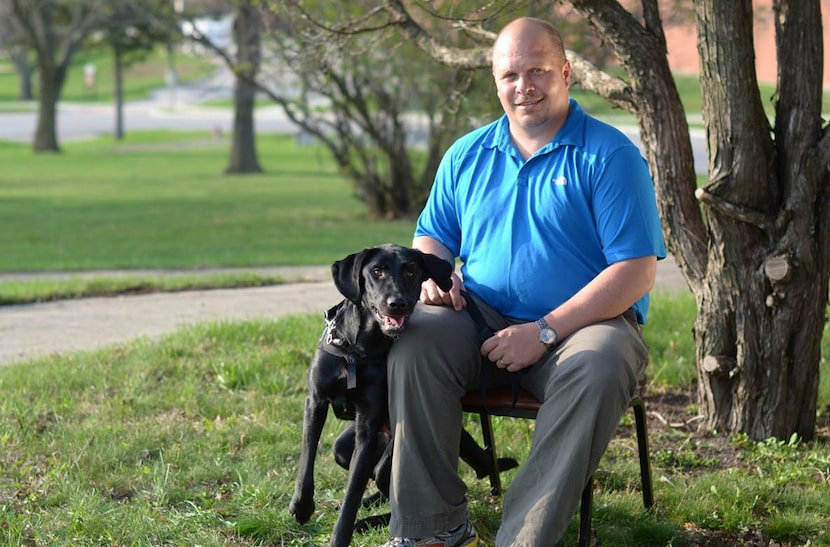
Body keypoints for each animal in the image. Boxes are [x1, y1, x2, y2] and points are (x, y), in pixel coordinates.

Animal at [290, 246, 516, 547]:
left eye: (411, 273)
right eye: (376, 272)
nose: (397, 304)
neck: (357, 350)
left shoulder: (367, 428)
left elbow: (351, 495)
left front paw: (340, 535)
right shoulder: (315, 402)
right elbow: (306, 460)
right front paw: (302, 507)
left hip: (390, 457)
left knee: (397, 496)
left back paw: (370, 521)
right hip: (343, 450)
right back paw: (370, 504)